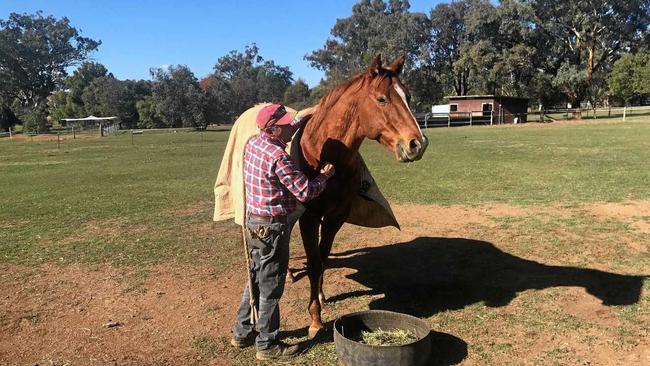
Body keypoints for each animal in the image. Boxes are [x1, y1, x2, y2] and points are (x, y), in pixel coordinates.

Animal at [292, 54, 426, 338]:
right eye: (382, 99)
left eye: (407, 95)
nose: (417, 144)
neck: (322, 154)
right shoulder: (308, 219)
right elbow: (313, 263)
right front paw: (315, 319)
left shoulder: (335, 218)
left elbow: (322, 258)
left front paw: (321, 298)